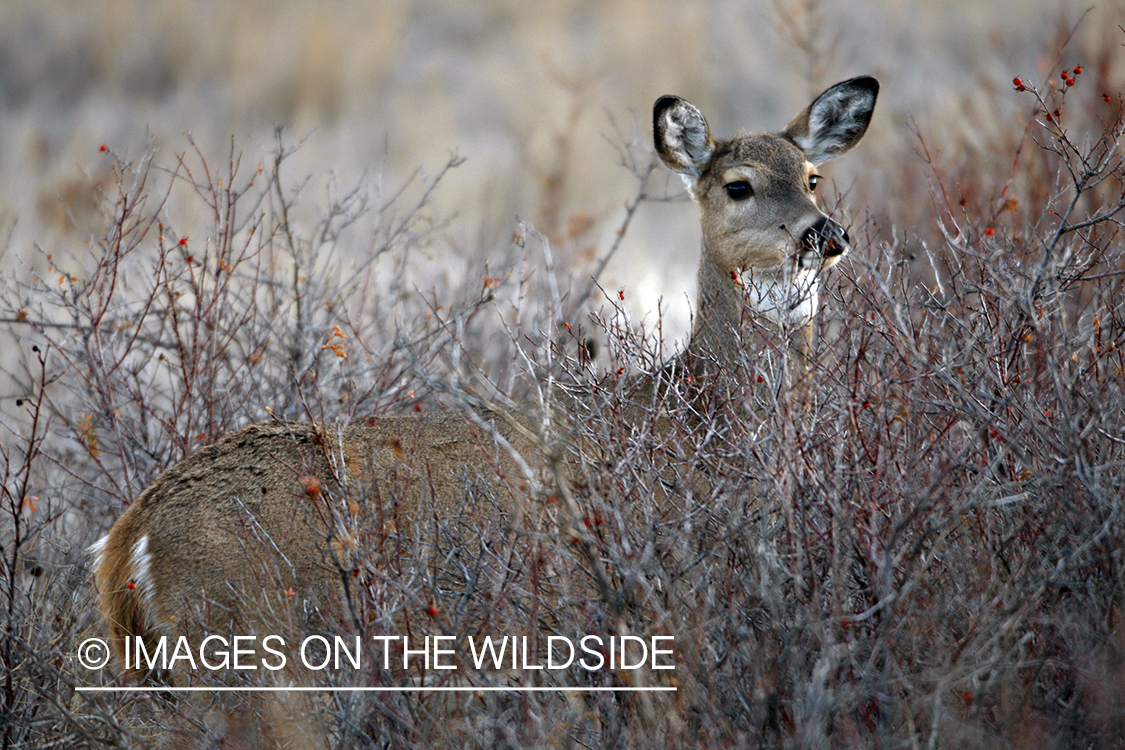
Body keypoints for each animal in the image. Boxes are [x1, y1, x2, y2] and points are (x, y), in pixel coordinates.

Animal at [90, 76, 877, 750]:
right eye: (738, 186)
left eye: (812, 176)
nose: (824, 233)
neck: (688, 415)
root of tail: (129, 535)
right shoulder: (645, 609)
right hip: (252, 656)